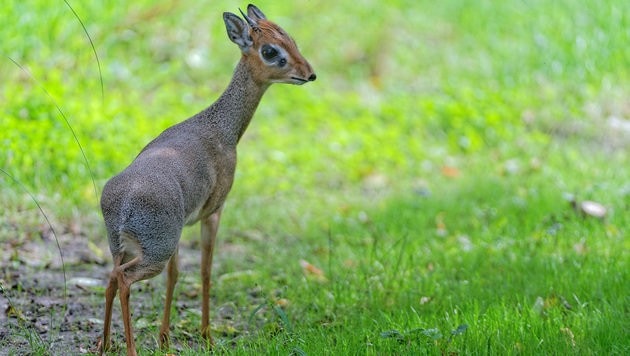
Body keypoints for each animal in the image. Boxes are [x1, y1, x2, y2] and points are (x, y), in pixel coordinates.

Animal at [100, 4, 316, 354]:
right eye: (271, 51)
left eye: (291, 39)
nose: (309, 73)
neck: (222, 129)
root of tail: (122, 206)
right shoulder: (214, 211)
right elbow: (205, 271)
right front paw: (207, 335)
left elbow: (176, 275)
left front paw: (165, 338)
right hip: (154, 250)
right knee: (123, 280)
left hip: (124, 246)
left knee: (110, 278)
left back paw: (104, 343)